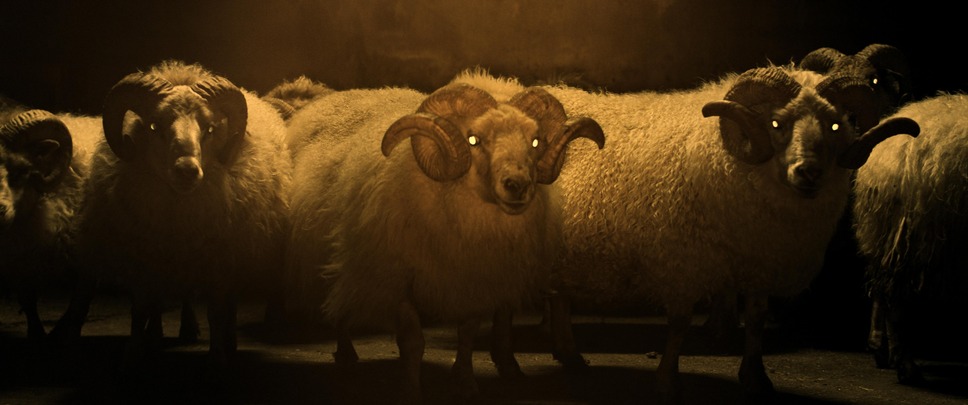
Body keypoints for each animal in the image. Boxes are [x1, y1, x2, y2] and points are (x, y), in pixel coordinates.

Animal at [0, 104, 100, 342]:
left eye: (22, 170)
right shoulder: (19, 258)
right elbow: (28, 302)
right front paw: (36, 335)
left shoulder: (89, 258)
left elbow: (79, 306)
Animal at [70, 60, 292, 376]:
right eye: (153, 126)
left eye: (210, 129)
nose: (187, 170)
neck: (180, 213)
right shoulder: (145, 260)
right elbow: (140, 309)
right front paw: (133, 355)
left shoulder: (219, 262)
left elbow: (216, 312)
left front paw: (217, 358)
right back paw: (160, 335)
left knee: (227, 304)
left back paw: (225, 340)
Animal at [284, 70, 604, 403]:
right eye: (473, 139)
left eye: (535, 141)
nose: (517, 185)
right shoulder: (399, 279)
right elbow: (413, 341)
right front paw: (411, 389)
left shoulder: (474, 282)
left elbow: (467, 334)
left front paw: (465, 382)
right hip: (328, 255)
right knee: (334, 302)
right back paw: (345, 351)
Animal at [501, 64, 920, 403]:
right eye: (776, 123)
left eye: (835, 124)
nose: (808, 172)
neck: (730, 157)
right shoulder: (683, 260)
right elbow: (679, 324)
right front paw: (668, 383)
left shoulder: (759, 263)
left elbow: (756, 321)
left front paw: (756, 379)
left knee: (559, 297)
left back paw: (570, 356)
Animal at [851, 92, 968, 384]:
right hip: (907, 238)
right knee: (895, 301)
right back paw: (905, 366)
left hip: (884, 234)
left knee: (880, 292)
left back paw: (880, 351)